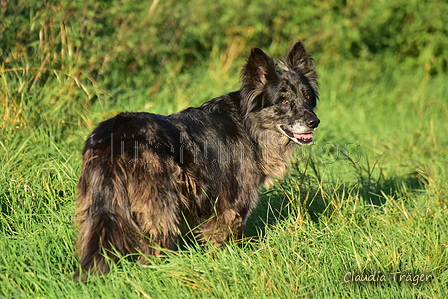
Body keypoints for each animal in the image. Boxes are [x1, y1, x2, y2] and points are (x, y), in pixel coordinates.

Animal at [74, 39, 318, 282]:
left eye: (307, 97)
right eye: (283, 101)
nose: (314, 122)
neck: (248, 125)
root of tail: (115, 132)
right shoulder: (231, 208)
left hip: (98, 210)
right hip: (160, 209)